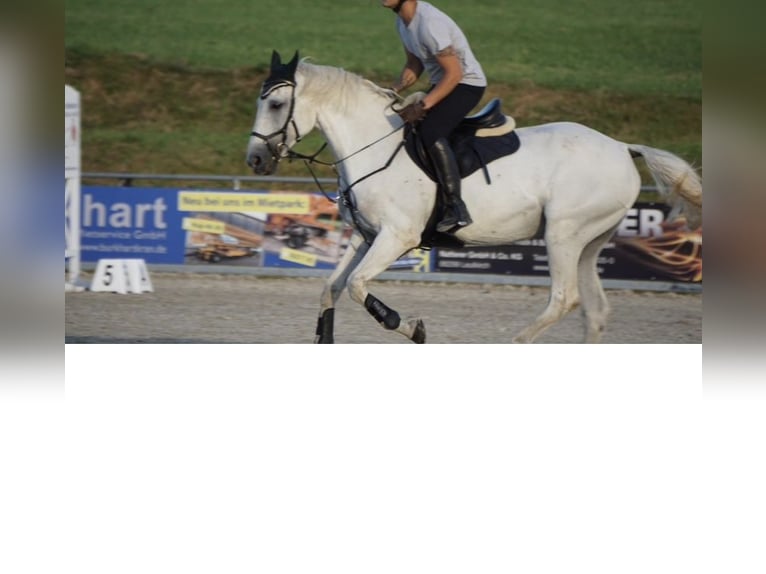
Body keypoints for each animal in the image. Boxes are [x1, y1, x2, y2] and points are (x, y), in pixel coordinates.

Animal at [246, 51, 702, 344]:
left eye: (276, 103)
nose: (254, 159)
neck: (372, 145)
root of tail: (622, 147)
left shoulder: (397, 237)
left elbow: (358, 287)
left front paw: (412, 328)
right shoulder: (365, 236)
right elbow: (331, 289)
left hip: (564, 234)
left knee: (564, 299)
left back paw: (517, 343)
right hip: (590, 241)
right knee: (594, 311)